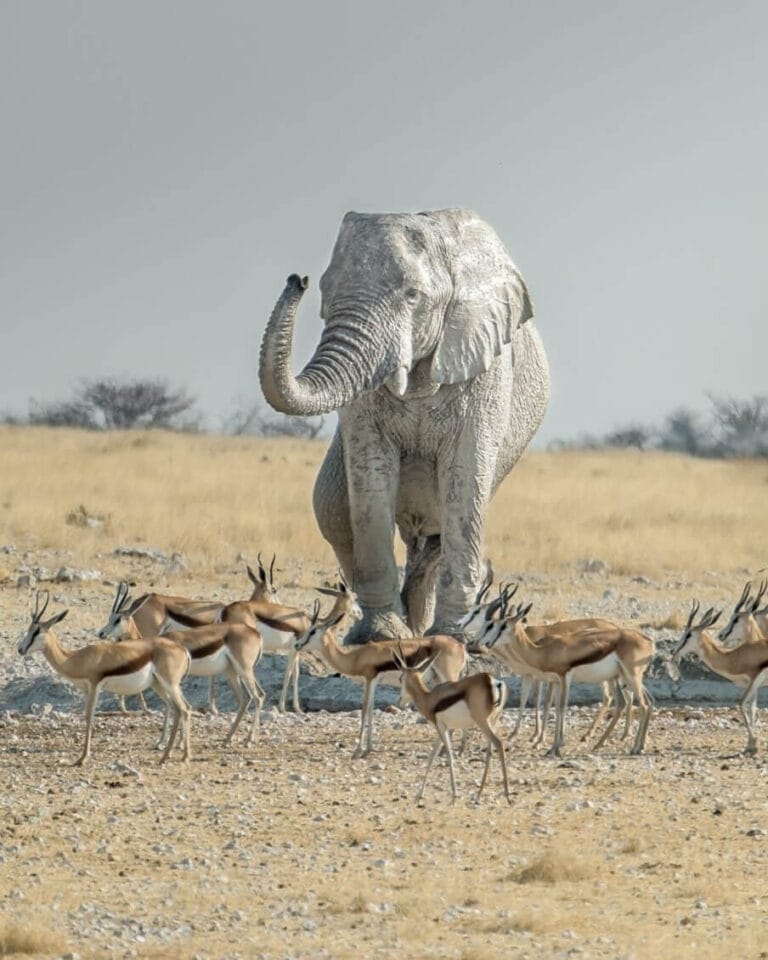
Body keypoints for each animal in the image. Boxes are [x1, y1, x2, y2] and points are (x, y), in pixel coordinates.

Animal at [259, 208, 549, 642]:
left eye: (413, 295)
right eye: (325, 289)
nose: (298, 281)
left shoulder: (485, 368)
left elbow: (464, 480)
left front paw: (453, 639)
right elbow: (370, 474)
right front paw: (381, 636)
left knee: (440, 531)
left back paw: (423, 627)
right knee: (333, 510)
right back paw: (405, 627)